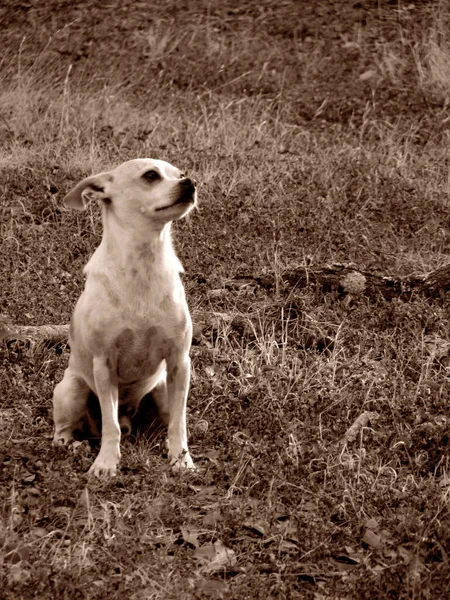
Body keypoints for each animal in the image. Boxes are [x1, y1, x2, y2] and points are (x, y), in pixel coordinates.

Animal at [51, 159, 196, 478]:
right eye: (151, 175)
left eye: (180, 174)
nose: (191, 182)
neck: (144, 263)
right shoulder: (104, 365)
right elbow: (111, 425)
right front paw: (106, 463)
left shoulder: (179, 362)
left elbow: (179, 423)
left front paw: (181, 459)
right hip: (72, 390)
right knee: (65, 429)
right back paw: (72, 444)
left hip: (162, 390)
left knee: (165, 421)